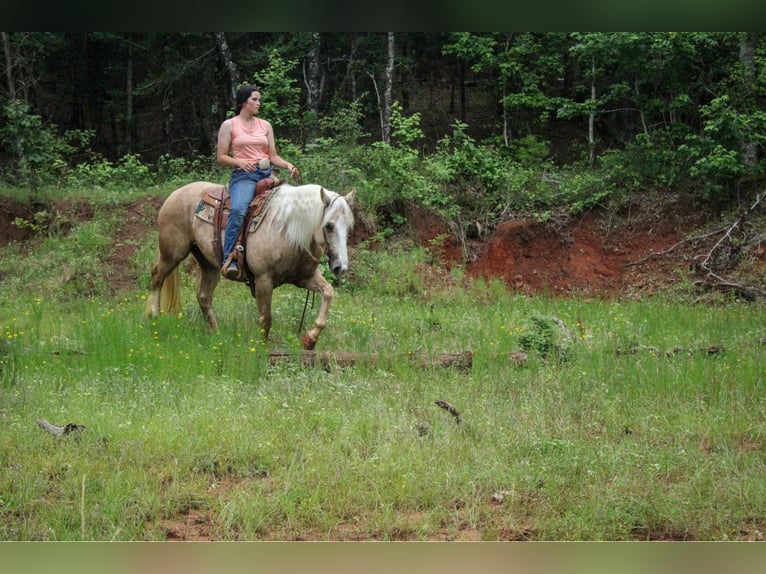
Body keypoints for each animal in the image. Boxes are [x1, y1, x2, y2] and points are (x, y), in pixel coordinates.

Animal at [147, 182, 356, 352]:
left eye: (349, 227)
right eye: (329, 225)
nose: (341, 267)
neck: (288, 230)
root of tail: (174, 195)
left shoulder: (304, 277)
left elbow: (328, 292)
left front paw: (310, 339)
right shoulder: (263, 280)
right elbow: (266, 318)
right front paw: (261, 350)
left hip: (209, 265)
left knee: (204, 297)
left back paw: (217, 335)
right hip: (172, 253)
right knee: (157, 277)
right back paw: (155, 317)